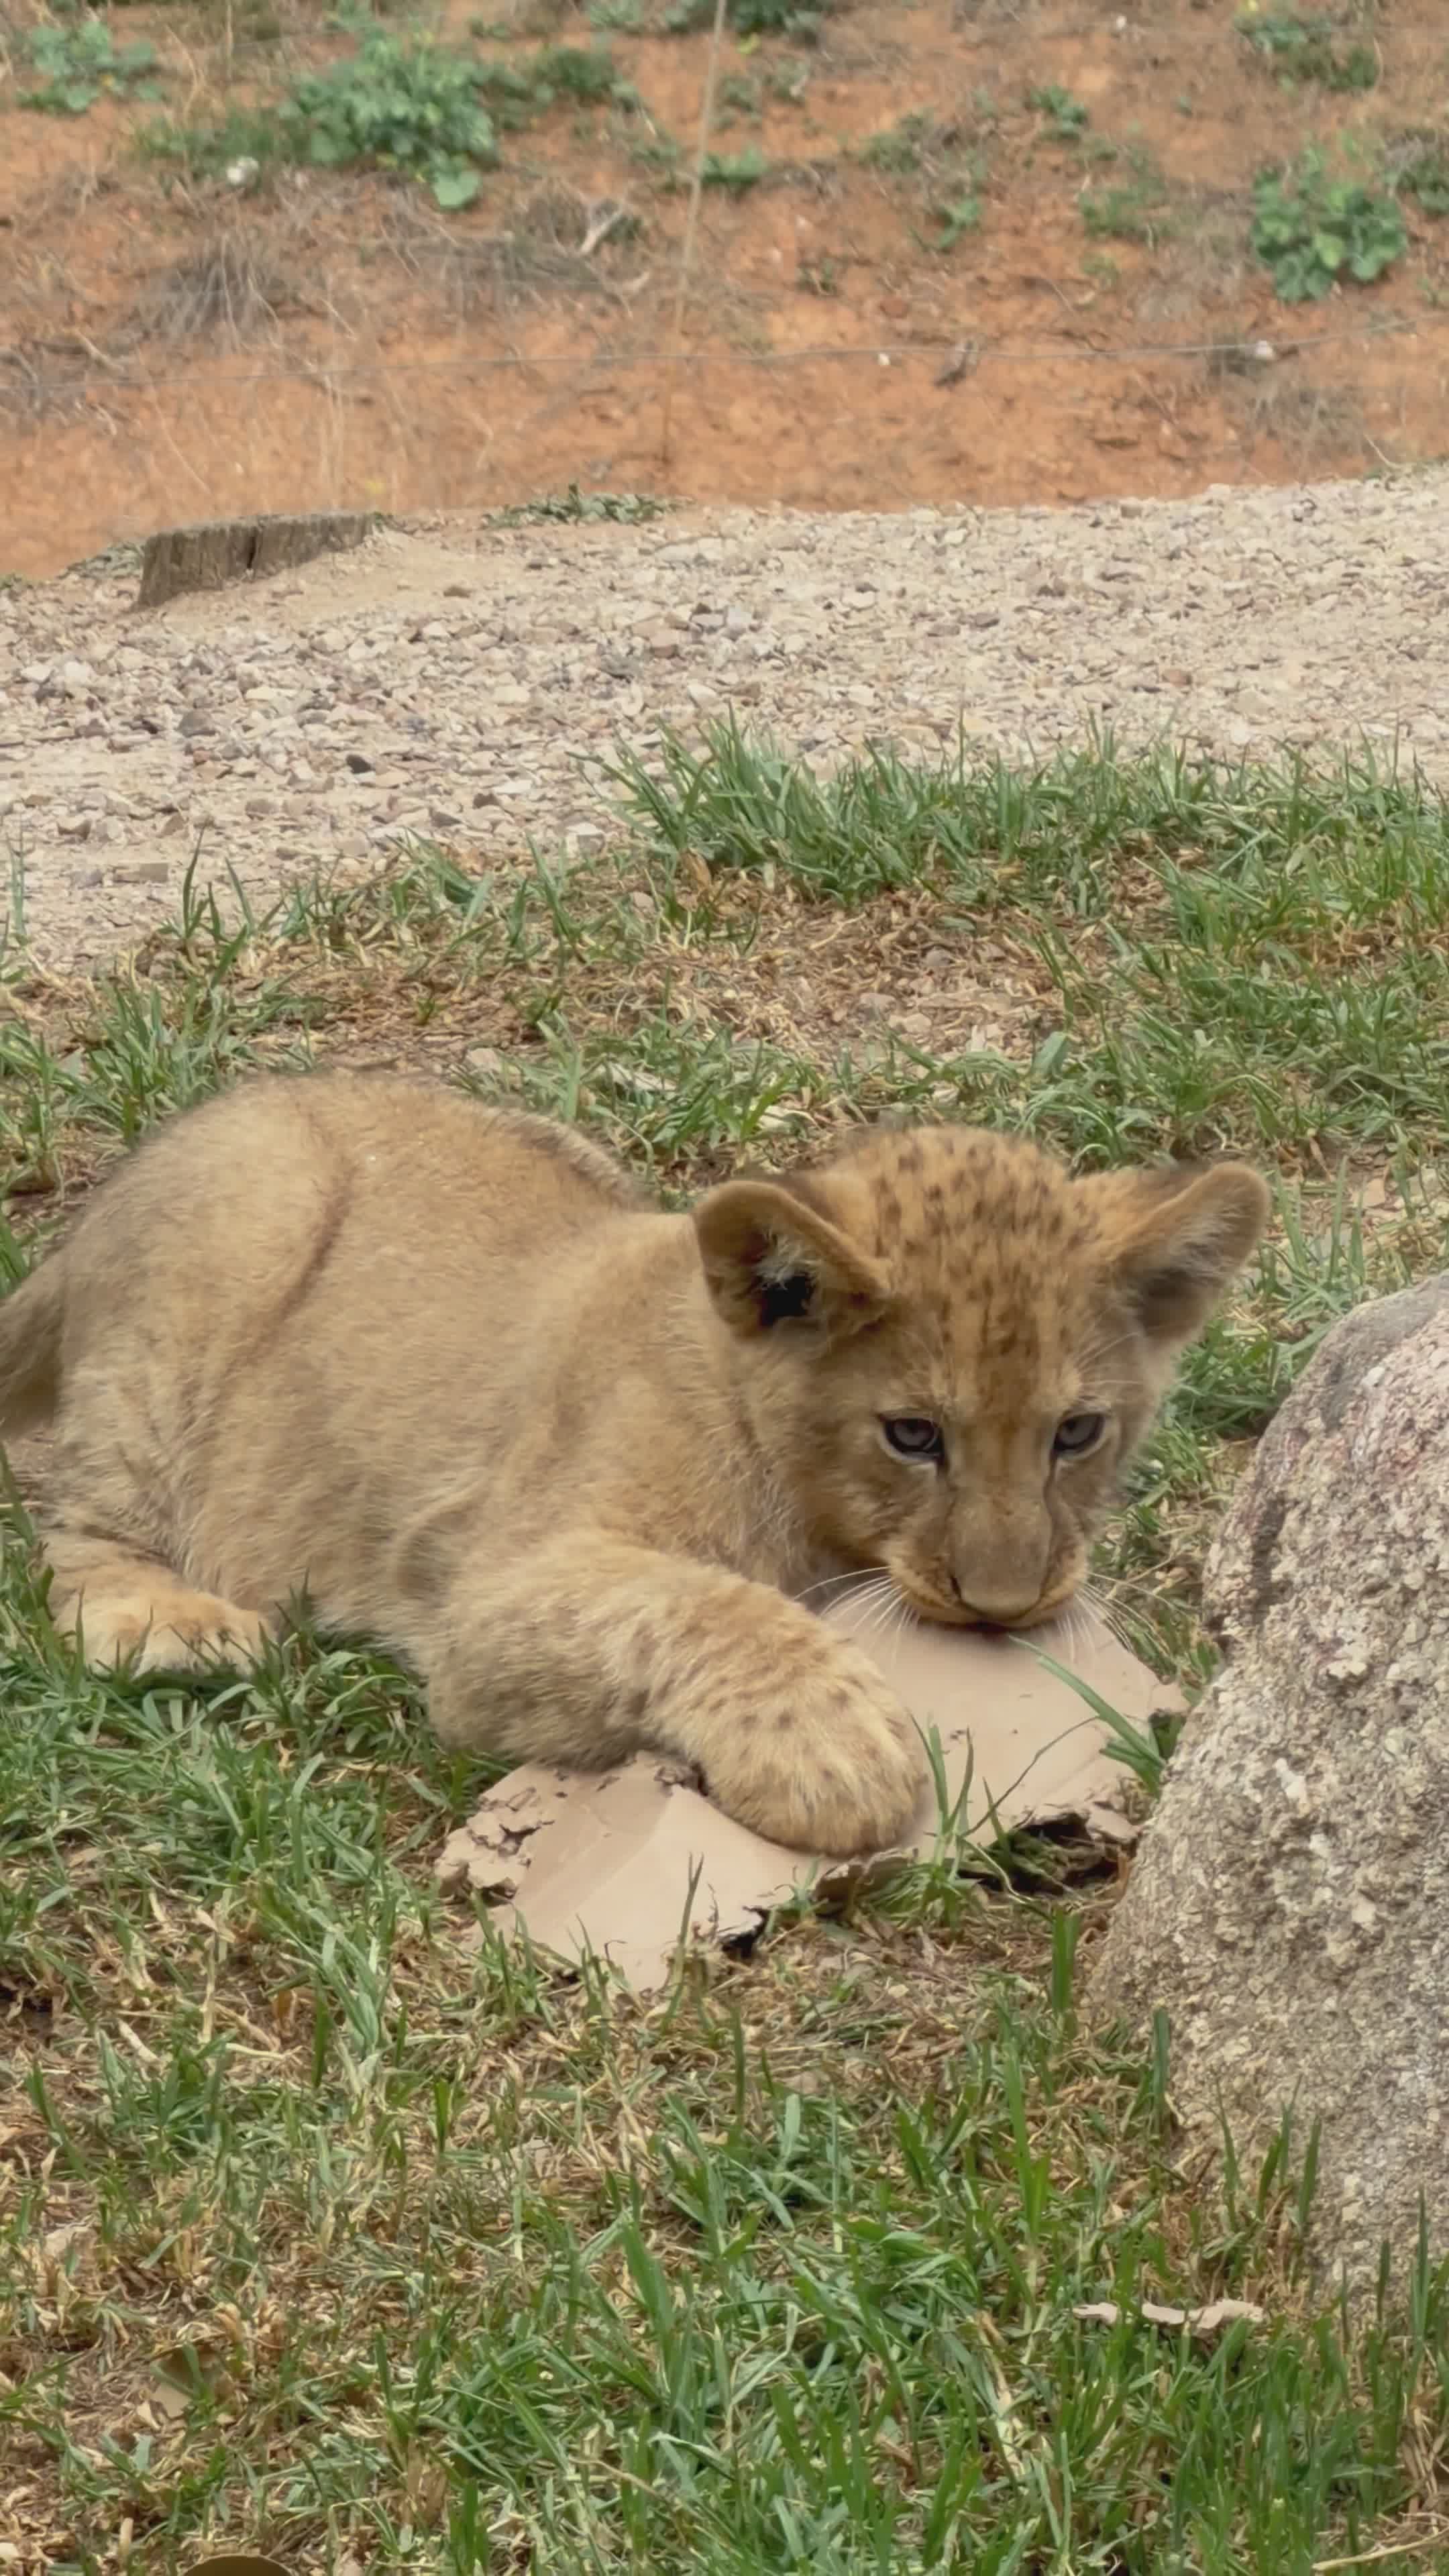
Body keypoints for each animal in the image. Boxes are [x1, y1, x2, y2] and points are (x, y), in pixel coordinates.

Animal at [0, 1075, 1268, 1854]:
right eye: (913, 1435)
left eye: (1076, 1433)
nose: (1007, 1608)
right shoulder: (484, 1604)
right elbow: (696, 1602)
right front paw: (839, 1754)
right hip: (224, 1257)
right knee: (80, 1529)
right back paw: (172, 1623)